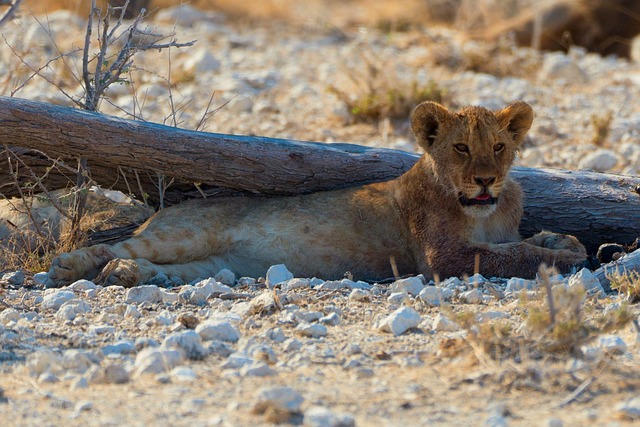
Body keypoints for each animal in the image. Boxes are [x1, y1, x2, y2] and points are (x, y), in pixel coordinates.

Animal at [47, 101, 587, 287]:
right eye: (460, 148)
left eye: (498, 147)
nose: (486, 179)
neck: (483, 210)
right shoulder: (442, 256)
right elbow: (513, 255)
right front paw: (564, 258)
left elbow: (525, 241)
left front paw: (567, 243)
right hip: (183, 234)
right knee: (109, 246)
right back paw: (70, 267)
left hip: (213, 265)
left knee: (148, 263)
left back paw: (130, 275)